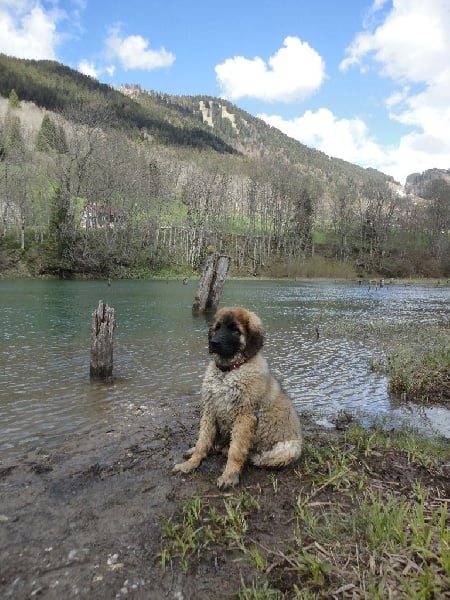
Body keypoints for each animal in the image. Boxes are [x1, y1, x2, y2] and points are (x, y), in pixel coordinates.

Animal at [173, 304, 302, 488]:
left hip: (288, 449)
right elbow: (202, 442)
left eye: (235, 330)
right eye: (217, 327)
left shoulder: (244, 417)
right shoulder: (210, 411)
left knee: (259, 458)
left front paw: (229, 476)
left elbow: (236, 451)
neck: (227, 372)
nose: (213, 343)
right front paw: (190, 464)